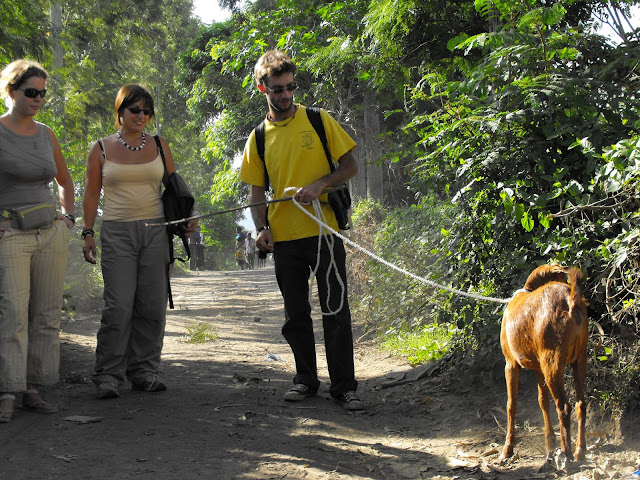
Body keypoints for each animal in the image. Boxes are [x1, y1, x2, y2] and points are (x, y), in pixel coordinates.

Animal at [500, 264, 592, 464]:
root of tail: (571, 301)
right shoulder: (537, 367)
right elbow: (542, 401)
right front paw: (550, 443)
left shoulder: (510, 364)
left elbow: (511, 404)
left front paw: (507, 448)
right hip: (579, 360)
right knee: (580, 404)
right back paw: (579, 451)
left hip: (553, 363)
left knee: (564, 407)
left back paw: (566, 454)